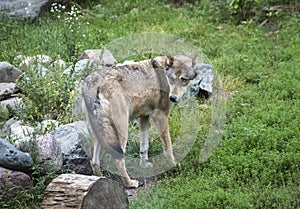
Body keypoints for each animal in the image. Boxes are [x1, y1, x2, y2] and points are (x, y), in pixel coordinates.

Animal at [82, 53, 199, 187]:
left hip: (99, 133)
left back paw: (100, 180)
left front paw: (144, 165)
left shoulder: (144, 118)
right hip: (123, 130)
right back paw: (130, 183)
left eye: (184, 79)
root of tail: (92, 85)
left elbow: (144, 147)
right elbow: (168, 148)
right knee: (118, 160)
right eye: (171, 78)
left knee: (94, 161)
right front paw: (175, 166)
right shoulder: (160, 116)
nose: (173, 98)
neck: (163, 72)